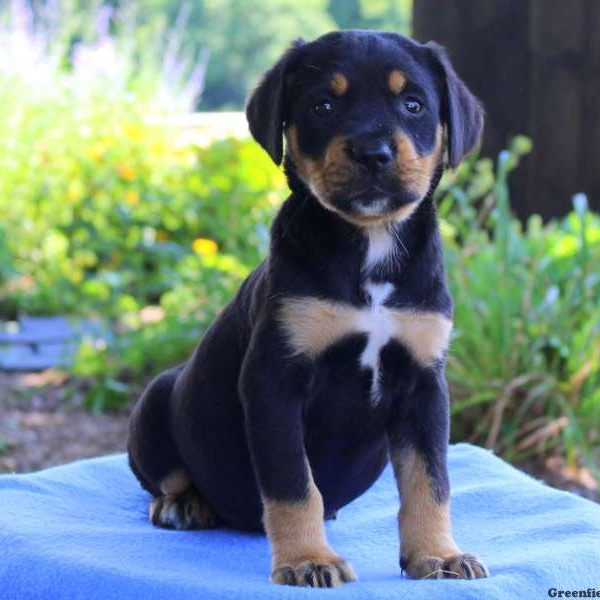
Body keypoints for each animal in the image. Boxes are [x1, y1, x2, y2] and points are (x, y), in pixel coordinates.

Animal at [126, 29, 488, 584]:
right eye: (323, 105)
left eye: (413, 104)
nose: (372, 153)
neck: (368, 248)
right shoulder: (275, 380)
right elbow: (294, 484)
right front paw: (308, 560)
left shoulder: (425, 384)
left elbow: (430, 481)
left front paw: (438, 554)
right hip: (154, 401)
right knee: (163, 478)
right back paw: (183, 504)